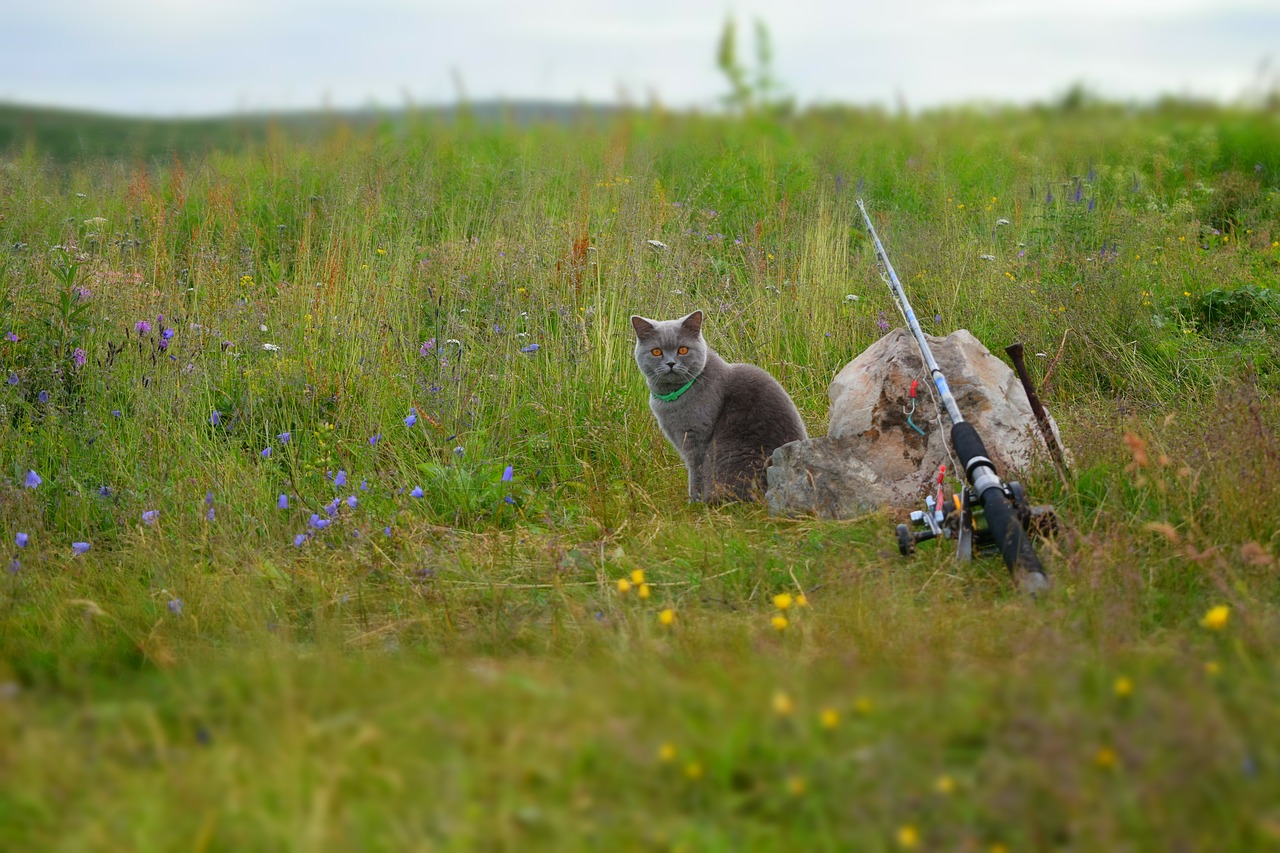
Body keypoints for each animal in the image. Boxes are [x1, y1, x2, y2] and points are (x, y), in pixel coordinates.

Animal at [632, 311, 803, 499]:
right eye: (656, 351)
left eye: (683, 350)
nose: (670, 363)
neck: (672, 396)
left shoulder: (696, 438)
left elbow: (696, 473)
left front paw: (694, 501)